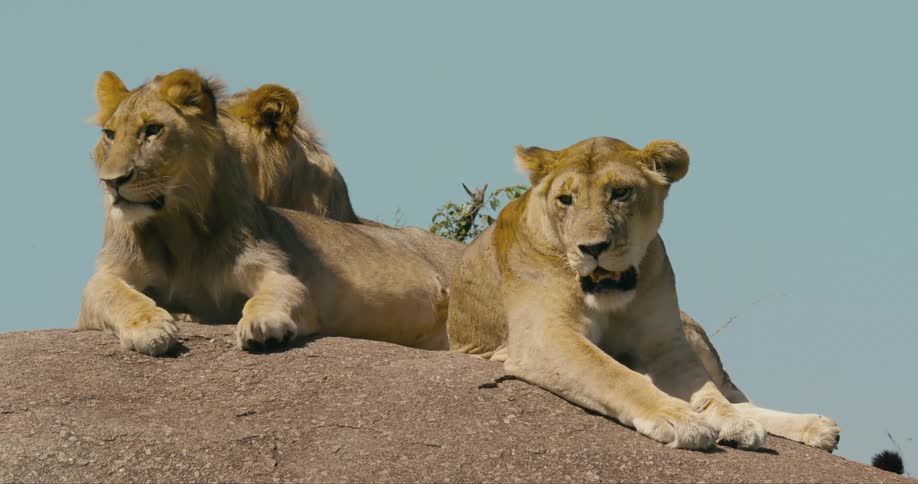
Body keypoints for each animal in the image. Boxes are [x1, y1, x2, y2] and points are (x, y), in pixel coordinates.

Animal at [77, 68, 463, 356]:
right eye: (110, 135)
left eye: (153, 130)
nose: (112, 181)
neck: (179, 227)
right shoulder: (106, 282)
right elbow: (118, 294)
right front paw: (153, 326)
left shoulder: (274, 271)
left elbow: (272, 292)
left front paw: (259, 323)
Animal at [446, 137, 840, 451]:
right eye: (566, 199)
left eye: (620, 192)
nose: (592, 248)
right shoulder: (545, 335)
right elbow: (615, 374)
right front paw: (680, 418)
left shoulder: (664, 344)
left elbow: (708, 393)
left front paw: (729, 421)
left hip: (691, 331)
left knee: (735, 395)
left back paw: (816, 426)